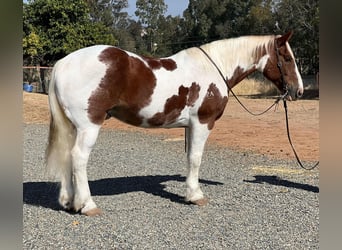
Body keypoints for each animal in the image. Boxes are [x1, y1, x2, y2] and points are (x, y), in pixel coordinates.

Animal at [44, 30, 302, 215]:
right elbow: (196, 159)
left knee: (67, 155)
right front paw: (195, 195)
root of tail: (63, 63)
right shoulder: (202, 123)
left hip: (73, 127)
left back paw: (69, 202)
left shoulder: (190, 126)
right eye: (288, 58)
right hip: (89, 126)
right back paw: (88, 205)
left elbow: (189, 158)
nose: (298, 91)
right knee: (78, 158)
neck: (213, 68)